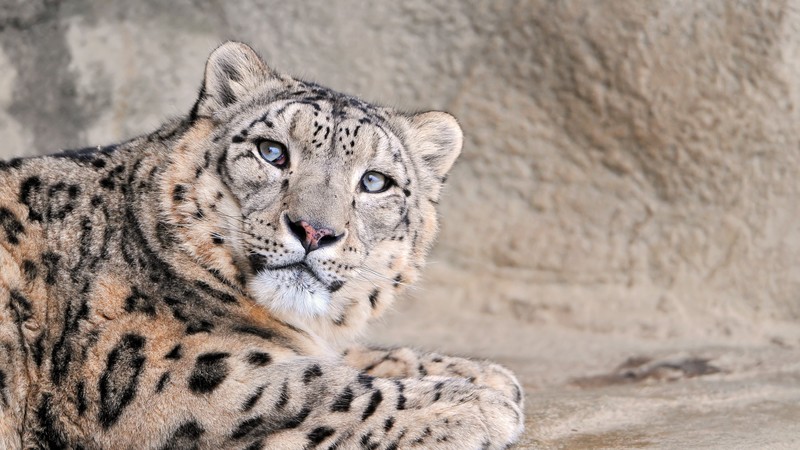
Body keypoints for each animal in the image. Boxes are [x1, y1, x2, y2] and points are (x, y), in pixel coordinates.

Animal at [0, 42, 524, 449]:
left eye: (375, 181)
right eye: (272, 152)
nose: (314, 230)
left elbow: (348, 358)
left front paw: (483, 374)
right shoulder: (168, 373)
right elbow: (314, 389)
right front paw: (475, 403)